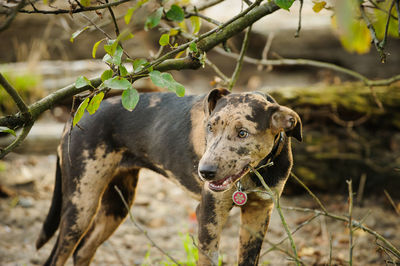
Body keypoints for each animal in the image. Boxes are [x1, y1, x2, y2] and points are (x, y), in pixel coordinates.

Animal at [36, 88, 302, 266]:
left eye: (243, 133)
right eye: (210, 126)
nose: (204, 171)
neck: (257, 171)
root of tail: (78, 114)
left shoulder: (259, 213)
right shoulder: (209, 215)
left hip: (116, 206)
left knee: (83, 251)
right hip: (81, 204)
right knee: (57, 258)